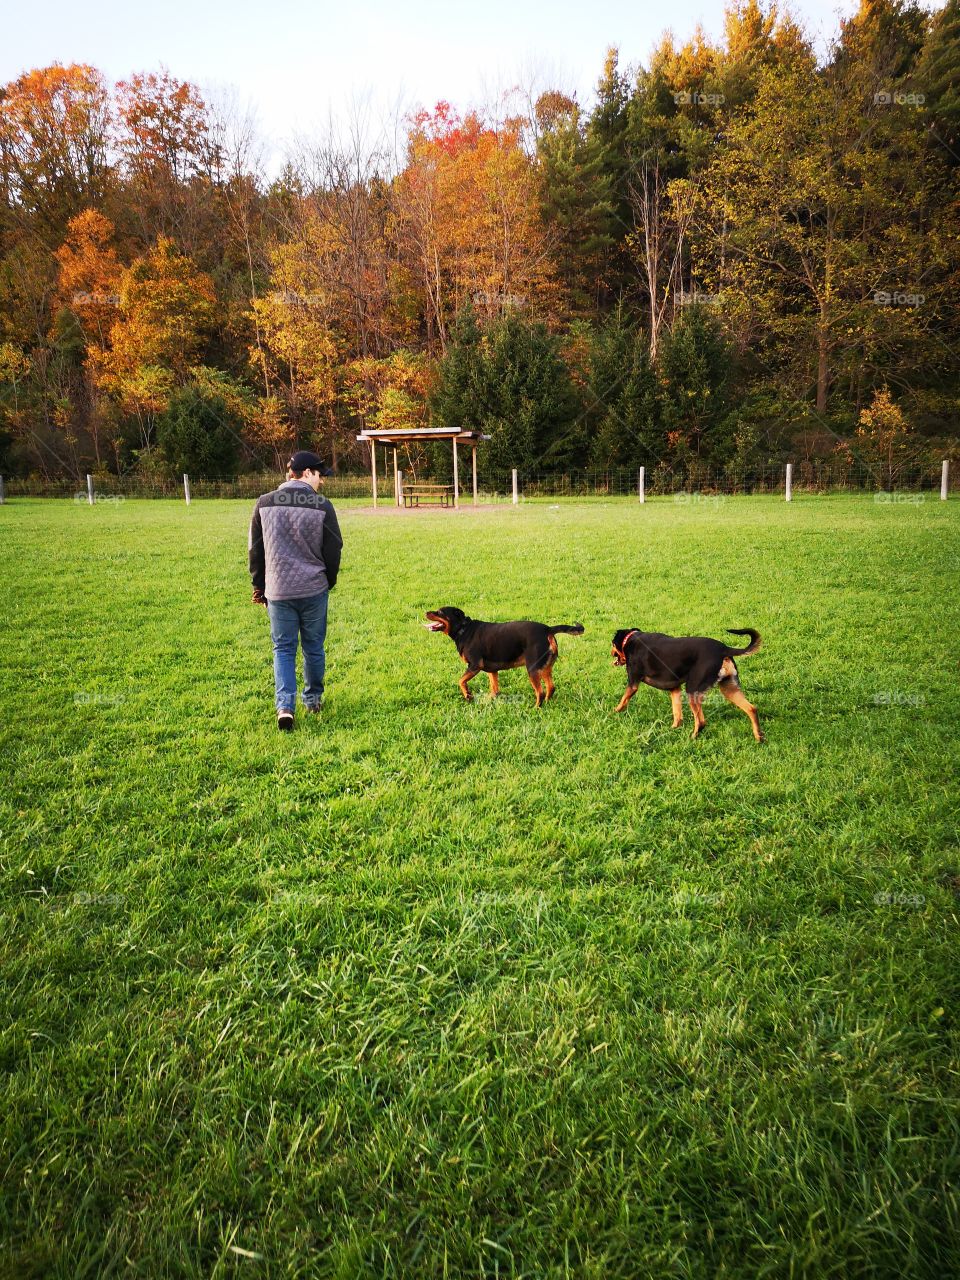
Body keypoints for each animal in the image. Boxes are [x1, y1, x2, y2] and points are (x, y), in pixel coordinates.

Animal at [427, 604, 586, 706]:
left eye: (440, 612)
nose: (426, 612)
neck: (463, 629)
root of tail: (548, 629)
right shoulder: (492, 671)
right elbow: (494, 688)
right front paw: (489, 700)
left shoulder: (474, 665)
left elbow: (460, 681)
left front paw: (468, 696)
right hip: (545, 667)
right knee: (551, 687)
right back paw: (546, 703)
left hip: (532, 668)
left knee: (540, 692)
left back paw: (536, 708)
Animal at [616, 627, 768, 742]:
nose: (612, 655)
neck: (631, 639)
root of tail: (724, 649)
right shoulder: (675, 689)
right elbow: (677, 713)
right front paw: (674, 728)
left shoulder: (632, 683)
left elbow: (622, 701)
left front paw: (614, 713)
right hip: (729, 689)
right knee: (751, 709)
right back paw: (758, 737)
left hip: (692, 689)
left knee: (701, 722)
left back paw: (693, 737)